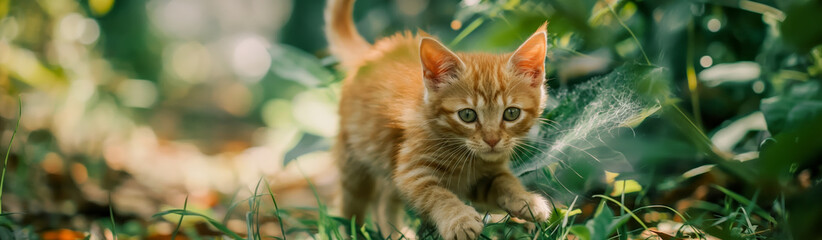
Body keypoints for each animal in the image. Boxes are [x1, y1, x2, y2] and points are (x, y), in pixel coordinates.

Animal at [328, 0, 552, 238]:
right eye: (467, 115)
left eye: (511, 113)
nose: (492, 140)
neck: (465, 156)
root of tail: (374, 53)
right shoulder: (411, 172)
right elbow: (438, 195)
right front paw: (460, 220)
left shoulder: (486, 175)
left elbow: (505, 180)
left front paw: (526, 200)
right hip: (354, 165)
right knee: (351, 208)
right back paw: (353, 232)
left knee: (385, 201)